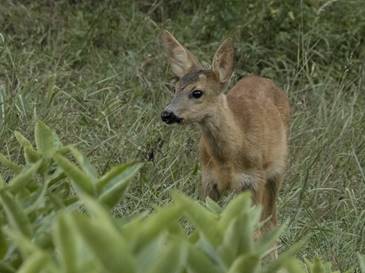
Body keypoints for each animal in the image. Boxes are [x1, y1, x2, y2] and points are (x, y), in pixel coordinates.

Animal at [159, 30, 290, 232]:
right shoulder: (208, 180)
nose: (167, 114)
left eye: (197, 92)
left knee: (270, 222)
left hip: (277, 172)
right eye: (175, 88)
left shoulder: (255, 180)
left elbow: (253, 231)